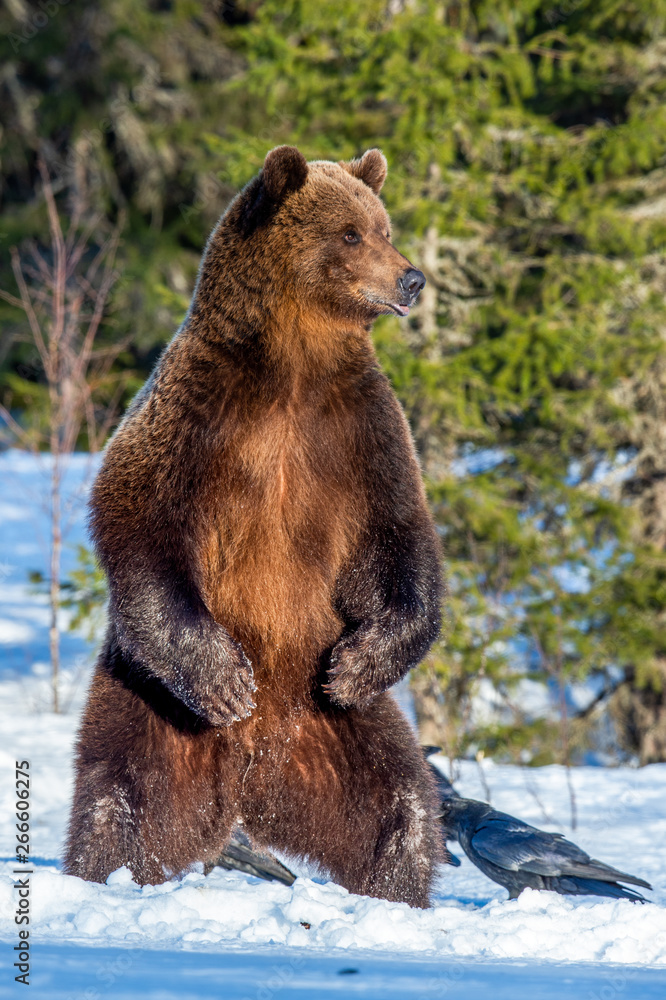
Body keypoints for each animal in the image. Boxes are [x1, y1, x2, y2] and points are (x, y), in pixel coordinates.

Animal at [64, 145, 445, 908]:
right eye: (351, 233)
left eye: (382, 225)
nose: (411, 278)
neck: (294, 364)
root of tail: (248, 777)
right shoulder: (201, 411)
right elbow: (137, 516)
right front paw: (225, 679)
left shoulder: (357, 429)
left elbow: (397, 537)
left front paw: (361, 663)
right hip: (151, 712)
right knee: (118, 798)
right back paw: (104, 876)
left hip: (338, 732)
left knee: (404, 805)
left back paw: (397, 894)